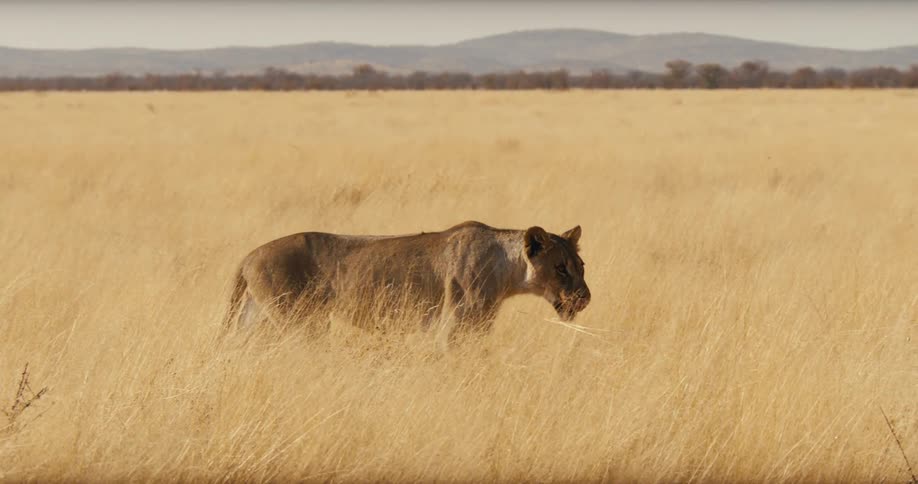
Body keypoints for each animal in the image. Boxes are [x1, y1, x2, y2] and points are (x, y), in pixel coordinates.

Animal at [222, 221, 590, 344]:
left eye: (581, 266)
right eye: (560, 268)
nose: (585, 298)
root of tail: (248, 256)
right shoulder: (456, 325)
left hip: (255, 318)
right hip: (299, 321)